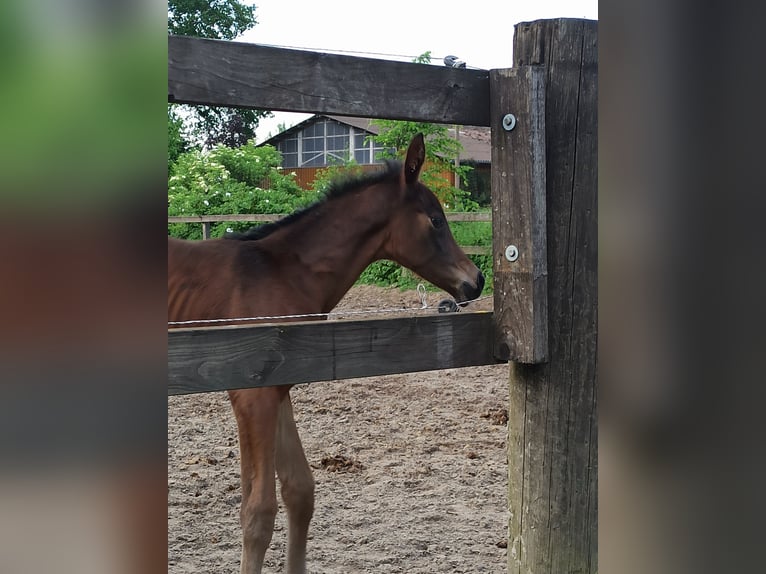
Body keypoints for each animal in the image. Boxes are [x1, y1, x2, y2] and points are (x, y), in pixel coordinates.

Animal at [169, 135, 486, 574]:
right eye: (436, 220)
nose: (476, 281)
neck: (282, 272)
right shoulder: (251, 393)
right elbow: (257, 512)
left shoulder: (279, 386)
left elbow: (300, 491)